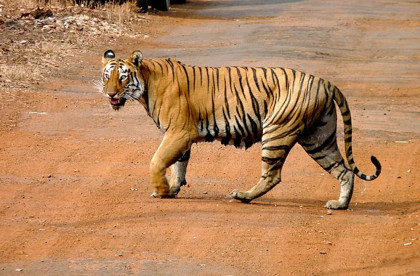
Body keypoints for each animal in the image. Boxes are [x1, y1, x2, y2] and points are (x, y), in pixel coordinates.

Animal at [100, 49, 382, 209]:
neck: (146, 83)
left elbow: (157, 161)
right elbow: (179, 166)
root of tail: (324, 81)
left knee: (273, 175)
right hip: (319, 138)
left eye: (123, 76)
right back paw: (340, 204)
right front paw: (171, 190)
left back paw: (243, 196)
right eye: (106, 76)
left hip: (277, 132)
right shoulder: (180, 137)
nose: (110, 94)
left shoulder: (178, 132)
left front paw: (160, 190)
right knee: (344, 170)